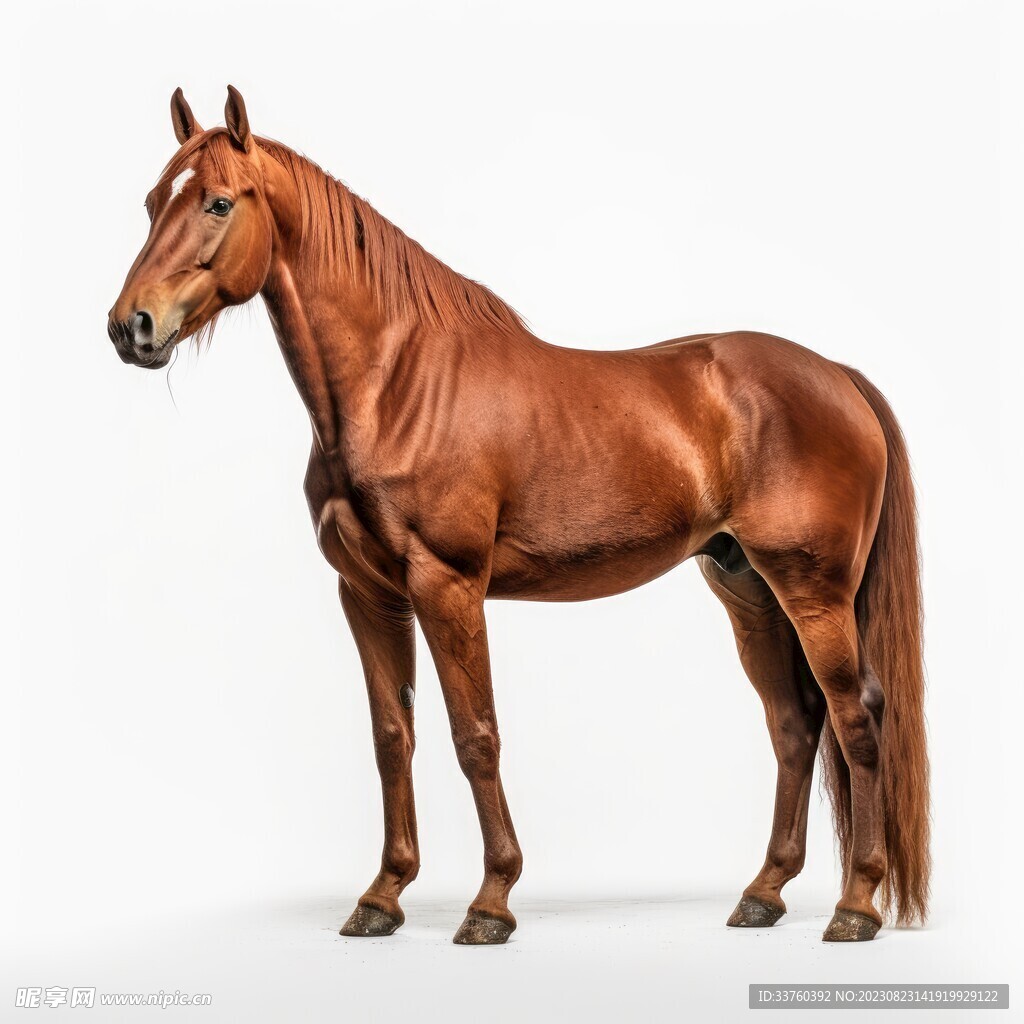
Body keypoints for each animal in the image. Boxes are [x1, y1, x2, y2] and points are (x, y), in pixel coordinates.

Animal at [107, 87, 930, 945]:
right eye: (151, 203)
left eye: (218, 202)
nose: (132, 326)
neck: (395, 387)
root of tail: (835, 374)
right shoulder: (367, 594)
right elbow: (392, 738)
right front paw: (381, 898)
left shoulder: (448, 586)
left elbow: (476, 738)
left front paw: (491, 902)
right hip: (749, 591)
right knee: (794, 724)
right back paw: (763, 894)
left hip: (815, 591)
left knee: (857, 717)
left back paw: (856, 905)